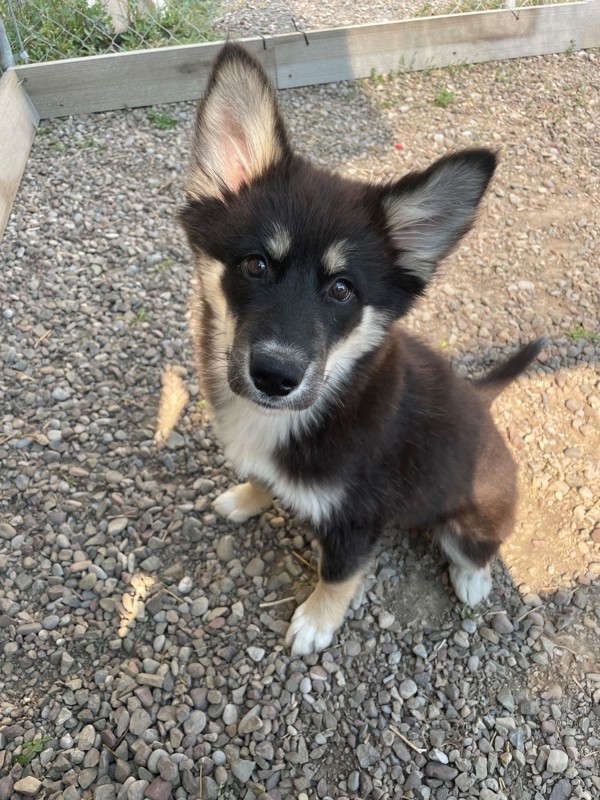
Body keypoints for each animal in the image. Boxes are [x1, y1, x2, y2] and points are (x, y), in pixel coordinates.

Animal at [177, 42, 540, 656]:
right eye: (255, 264)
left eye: (342, 289)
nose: (275, 376)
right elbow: (262, 477)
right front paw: (246, 497)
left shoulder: (358, 519)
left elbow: (338, 574)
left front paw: (315, 623)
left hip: (473, 516)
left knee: (476, 548)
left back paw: (473, 579)